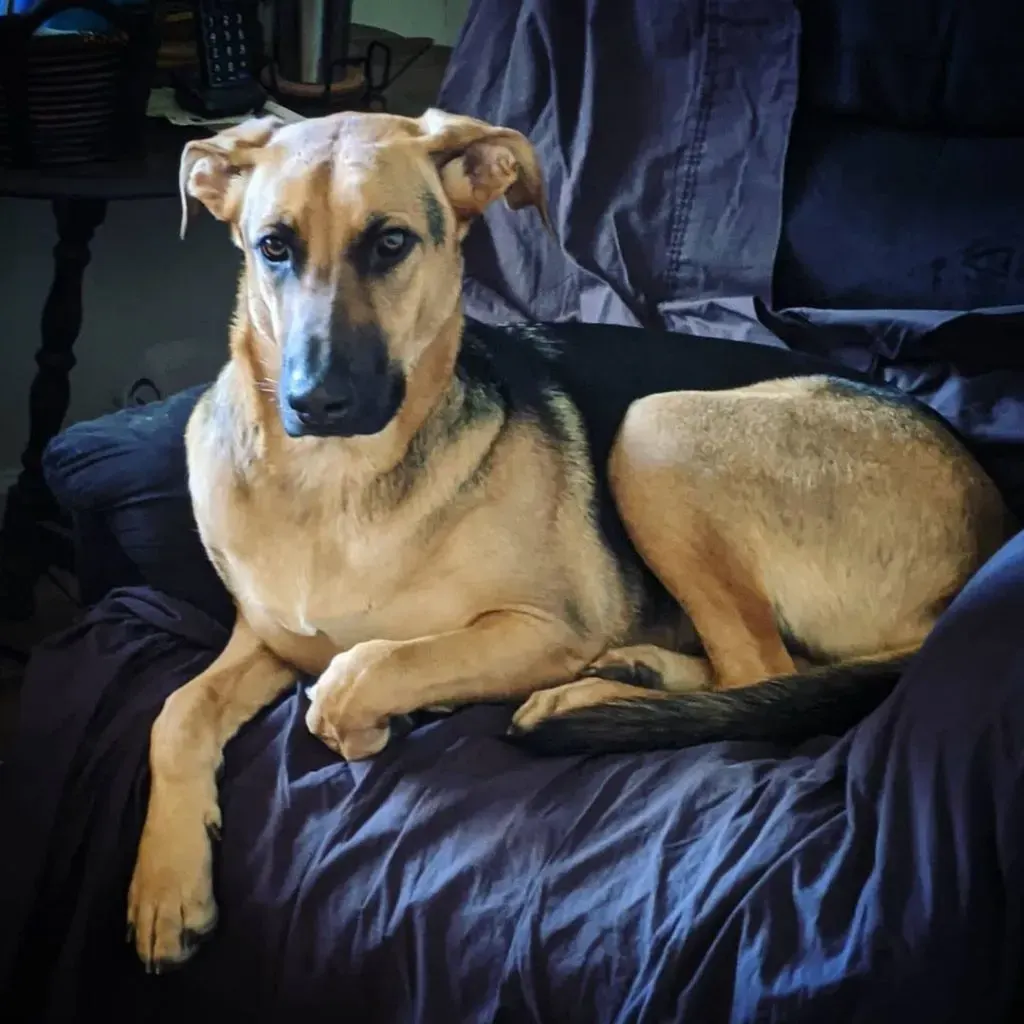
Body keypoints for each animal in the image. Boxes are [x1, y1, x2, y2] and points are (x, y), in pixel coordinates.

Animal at [128, 108, 1015, 970]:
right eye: (272, 246)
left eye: (391, 243)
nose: (315, 403)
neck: (334, 487)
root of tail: (990, 516)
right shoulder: (266, 640)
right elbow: (174, 713)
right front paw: (166, 883)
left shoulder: (546, 628)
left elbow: (361, 672)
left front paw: (379, 714)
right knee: (763, 672)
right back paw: (634, 668)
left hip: (657, 428)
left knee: (761, 673)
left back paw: (586, 695)